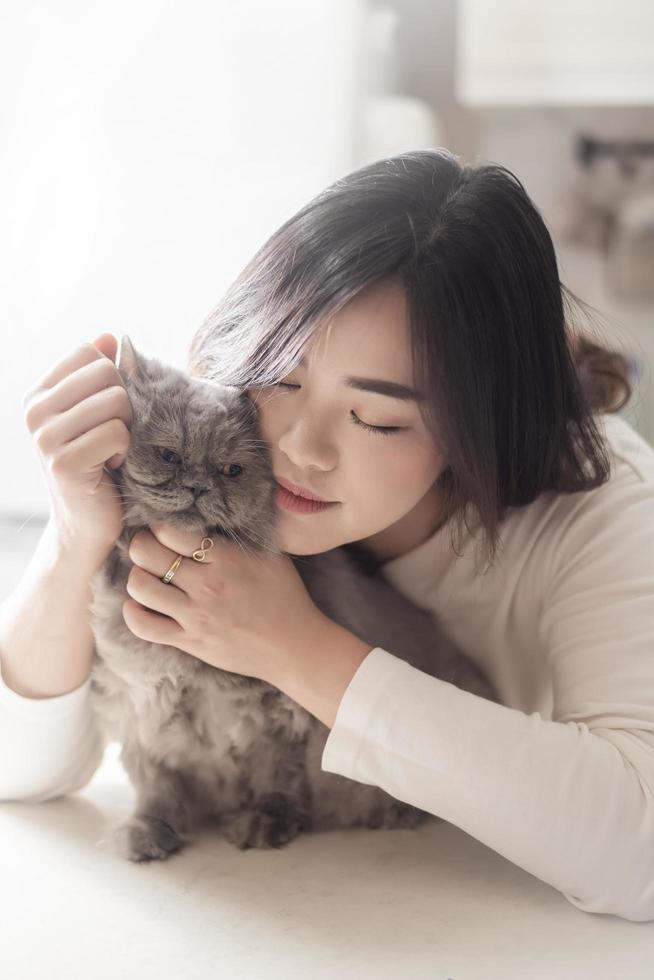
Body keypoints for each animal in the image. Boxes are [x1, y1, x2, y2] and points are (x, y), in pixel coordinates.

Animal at [87, 340, 498, 860]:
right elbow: (157, 788)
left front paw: (264, 825)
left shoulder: (278, 718)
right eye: (168, 456)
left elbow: (277, 779)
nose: (199, 486)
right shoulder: (140, 709)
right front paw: (147, 832)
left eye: (232, 470)